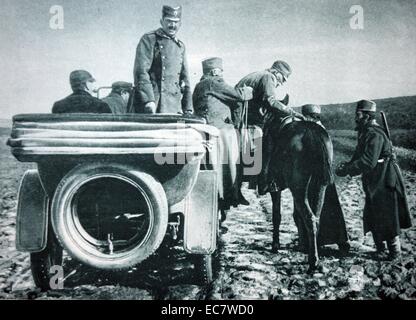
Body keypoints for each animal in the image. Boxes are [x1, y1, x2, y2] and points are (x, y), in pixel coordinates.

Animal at [264, 116, 334, 272]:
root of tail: (311, 132)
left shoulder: (275, 188)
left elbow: (276, 215)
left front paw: (275, 245)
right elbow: (296, 215)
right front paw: (301, 245)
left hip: (298, 187)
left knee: (310, 218)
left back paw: (313, 261)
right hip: (319, 186)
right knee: (316, 217)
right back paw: (312, 253)